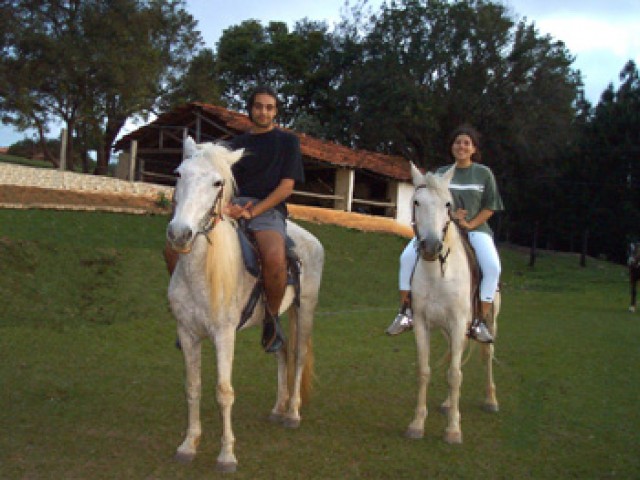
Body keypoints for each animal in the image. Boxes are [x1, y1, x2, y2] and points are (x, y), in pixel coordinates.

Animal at [166, 136, 324, 472]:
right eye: (179, 174)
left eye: (217, 183)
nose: (180, 233)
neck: (201, 271)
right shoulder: (187, 333)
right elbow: (193, 387)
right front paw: (188, 445)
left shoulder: (224, 335)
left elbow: (224, 392)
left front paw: (227, 455)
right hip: (273, 320)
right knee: (282, 352)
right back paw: (278, 408)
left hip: (305, 308)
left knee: (299, 355)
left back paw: (292, 413)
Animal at [404, 164, 500, 442]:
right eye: (416, 202)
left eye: (448, 204)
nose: (431, 246)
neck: (438, 272)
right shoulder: (422, 324)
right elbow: (425, 371)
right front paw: (417, 423)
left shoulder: (458, 324)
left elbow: (455, 375)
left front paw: (453, 429)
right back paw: (448, 404)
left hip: (489, 321)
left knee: (487, 354)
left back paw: (491, 400)